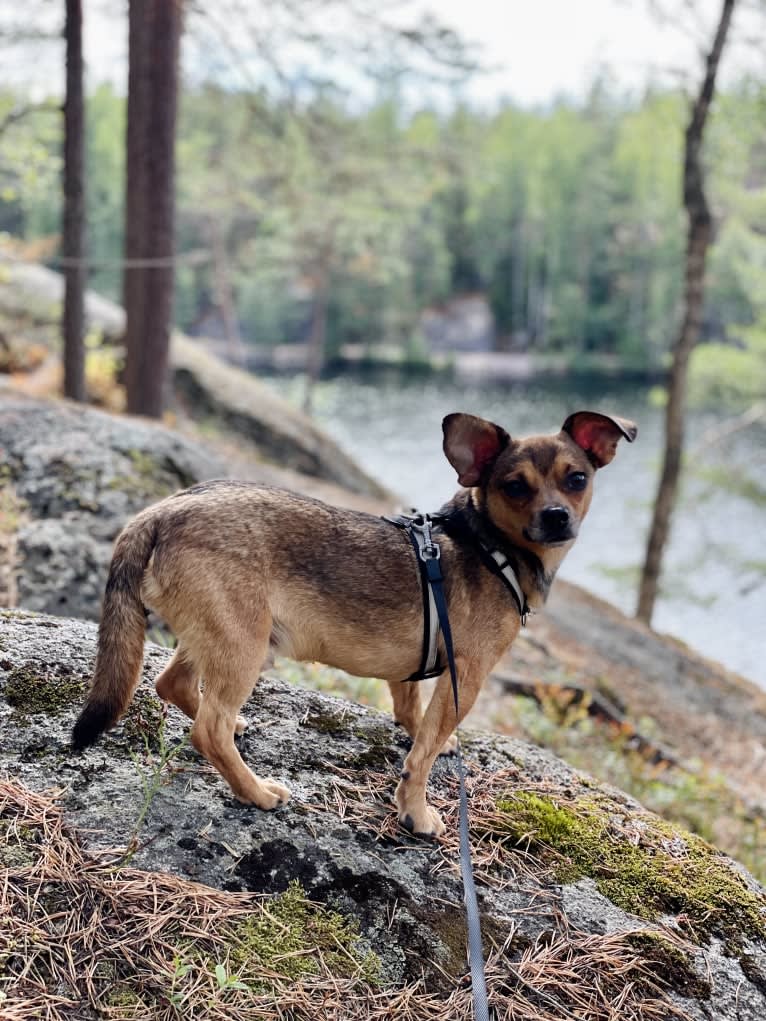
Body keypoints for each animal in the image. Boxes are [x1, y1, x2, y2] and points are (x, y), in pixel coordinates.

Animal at [73, 408, 637, 837]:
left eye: (577, 479)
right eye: (515, 487)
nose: (557, 517)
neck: (488, 543)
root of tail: (162, 511)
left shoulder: (413, 669)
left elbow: (414, 716)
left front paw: (422, 737)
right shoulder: (468, 676)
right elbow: (422, 757)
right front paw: (416, 812)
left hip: (221, 634)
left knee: (173, 684)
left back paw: (235, 727)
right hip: (244, 644)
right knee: (206, 730)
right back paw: (255, 790)